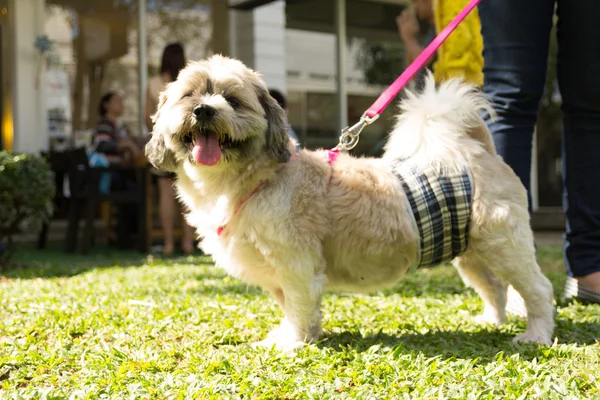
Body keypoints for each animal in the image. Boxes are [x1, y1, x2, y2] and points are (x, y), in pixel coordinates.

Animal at [144, 55, 552, 350]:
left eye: (232, 100)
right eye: (189, 96)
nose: (205, 110)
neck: (252, 181)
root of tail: (475, 150)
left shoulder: (296, 264)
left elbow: (299, 305)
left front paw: (292, 344)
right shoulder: (277, 275)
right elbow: (294, 309)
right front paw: (299, 335)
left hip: (505, 247)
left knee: (537, 290)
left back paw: (536, 335)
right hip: (471, 254)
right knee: (495, 288)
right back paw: (491, 322)